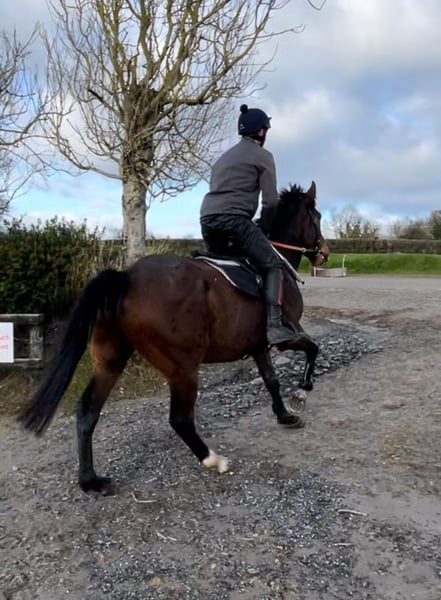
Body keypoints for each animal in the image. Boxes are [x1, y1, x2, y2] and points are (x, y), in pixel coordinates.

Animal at [20, 181, 329, 495]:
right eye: (317, 217)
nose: (324, 253)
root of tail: (126, 278)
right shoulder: (287, 335)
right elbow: (313, 349)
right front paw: (302, 392)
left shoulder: (257, 345)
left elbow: (271, 380)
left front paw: (285, 415)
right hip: (183, 368)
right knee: (180, 419)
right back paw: (212, 459)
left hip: (110, 361)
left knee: (87, 411)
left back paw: (90, 480)